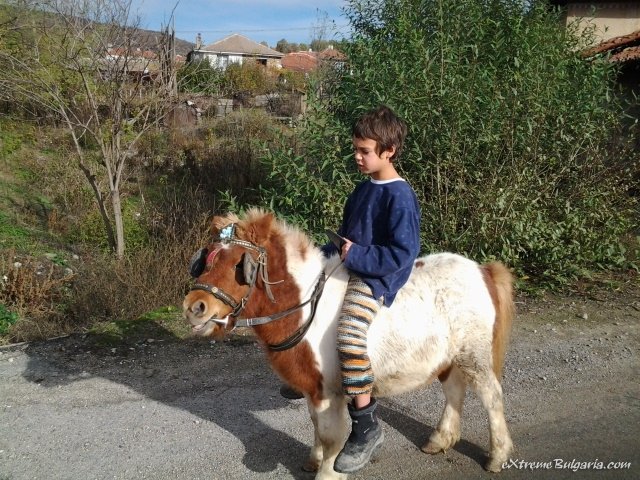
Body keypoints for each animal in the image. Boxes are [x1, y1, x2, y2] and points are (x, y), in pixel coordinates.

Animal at [183, 208, 515, 479]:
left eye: (240, 265)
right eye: (207, 258)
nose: (194, 307)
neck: (305, 307)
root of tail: (482, 270)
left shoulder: (329, 391)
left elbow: (332, 436)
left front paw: (329, 472)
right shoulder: (313, 387)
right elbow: (316, 425)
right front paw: (314, 461)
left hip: (475, 355)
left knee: (491, 397)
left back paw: (497, 455)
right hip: (451, 357)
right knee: (454, 390)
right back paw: (440, 439)